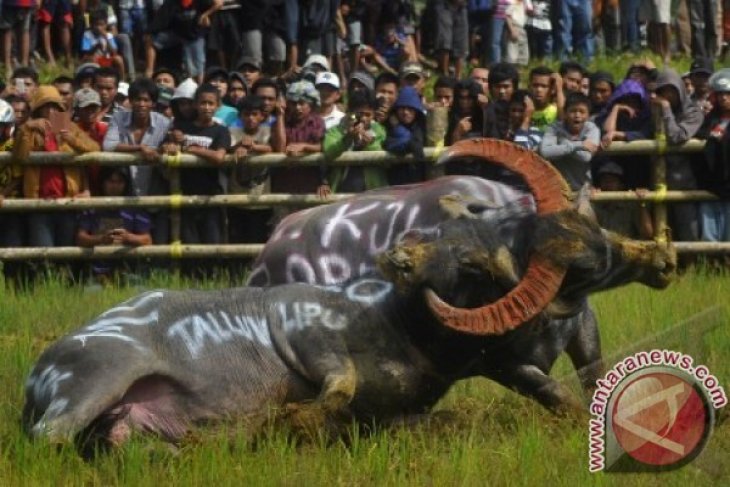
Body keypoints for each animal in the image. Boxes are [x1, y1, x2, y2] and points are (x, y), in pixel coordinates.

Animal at [250, 139, 676, 414]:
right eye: (586, 267)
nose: (663, 261)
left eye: (594, 226)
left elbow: (593, 377)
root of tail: (267, 255)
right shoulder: (496, 363)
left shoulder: (584, 327)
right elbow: (559, 396)